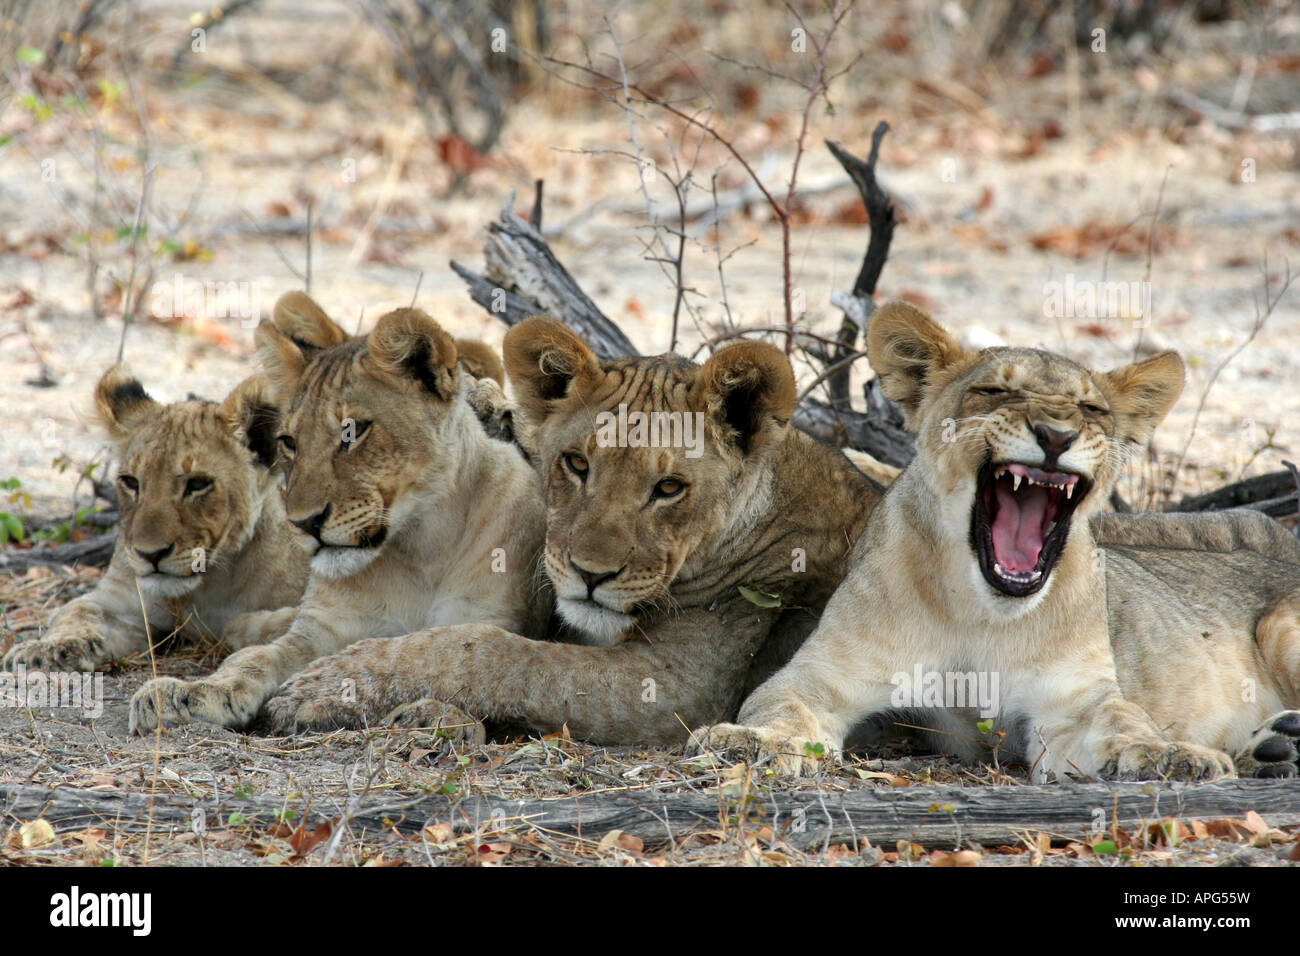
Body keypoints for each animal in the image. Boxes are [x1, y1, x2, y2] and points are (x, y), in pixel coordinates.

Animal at [3, 366, 309, 671]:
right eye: (131, 482)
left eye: (198, 484)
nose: (150, 554)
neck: (205, 588)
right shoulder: (121, 601)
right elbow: (76, 611)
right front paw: (42, 650)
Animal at [128, 290, 543, 733]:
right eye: (289, 442)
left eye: (353, 432)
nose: (304, 523)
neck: (420, 546)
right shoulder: (323, 629)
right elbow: (257, 659)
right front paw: (190, 693)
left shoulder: (486, 618)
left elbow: (457, 661)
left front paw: (433, 714)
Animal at [253, 317, 883, 743]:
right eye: (577, 464)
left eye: (669, 488)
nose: (590, 575)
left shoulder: (680, 685)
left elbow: (492, 652)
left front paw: (329, 684)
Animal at [691, 303, 1300, 780]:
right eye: (995, 391)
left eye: (1093, 409)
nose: (1056, 435)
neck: (981, 610)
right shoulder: (819, 677)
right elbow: (781, 708)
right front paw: (752, 743)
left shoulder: (1072, 704)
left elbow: (1125, 721)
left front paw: (1171, 754)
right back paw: (1274, 746)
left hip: (1280, 627)